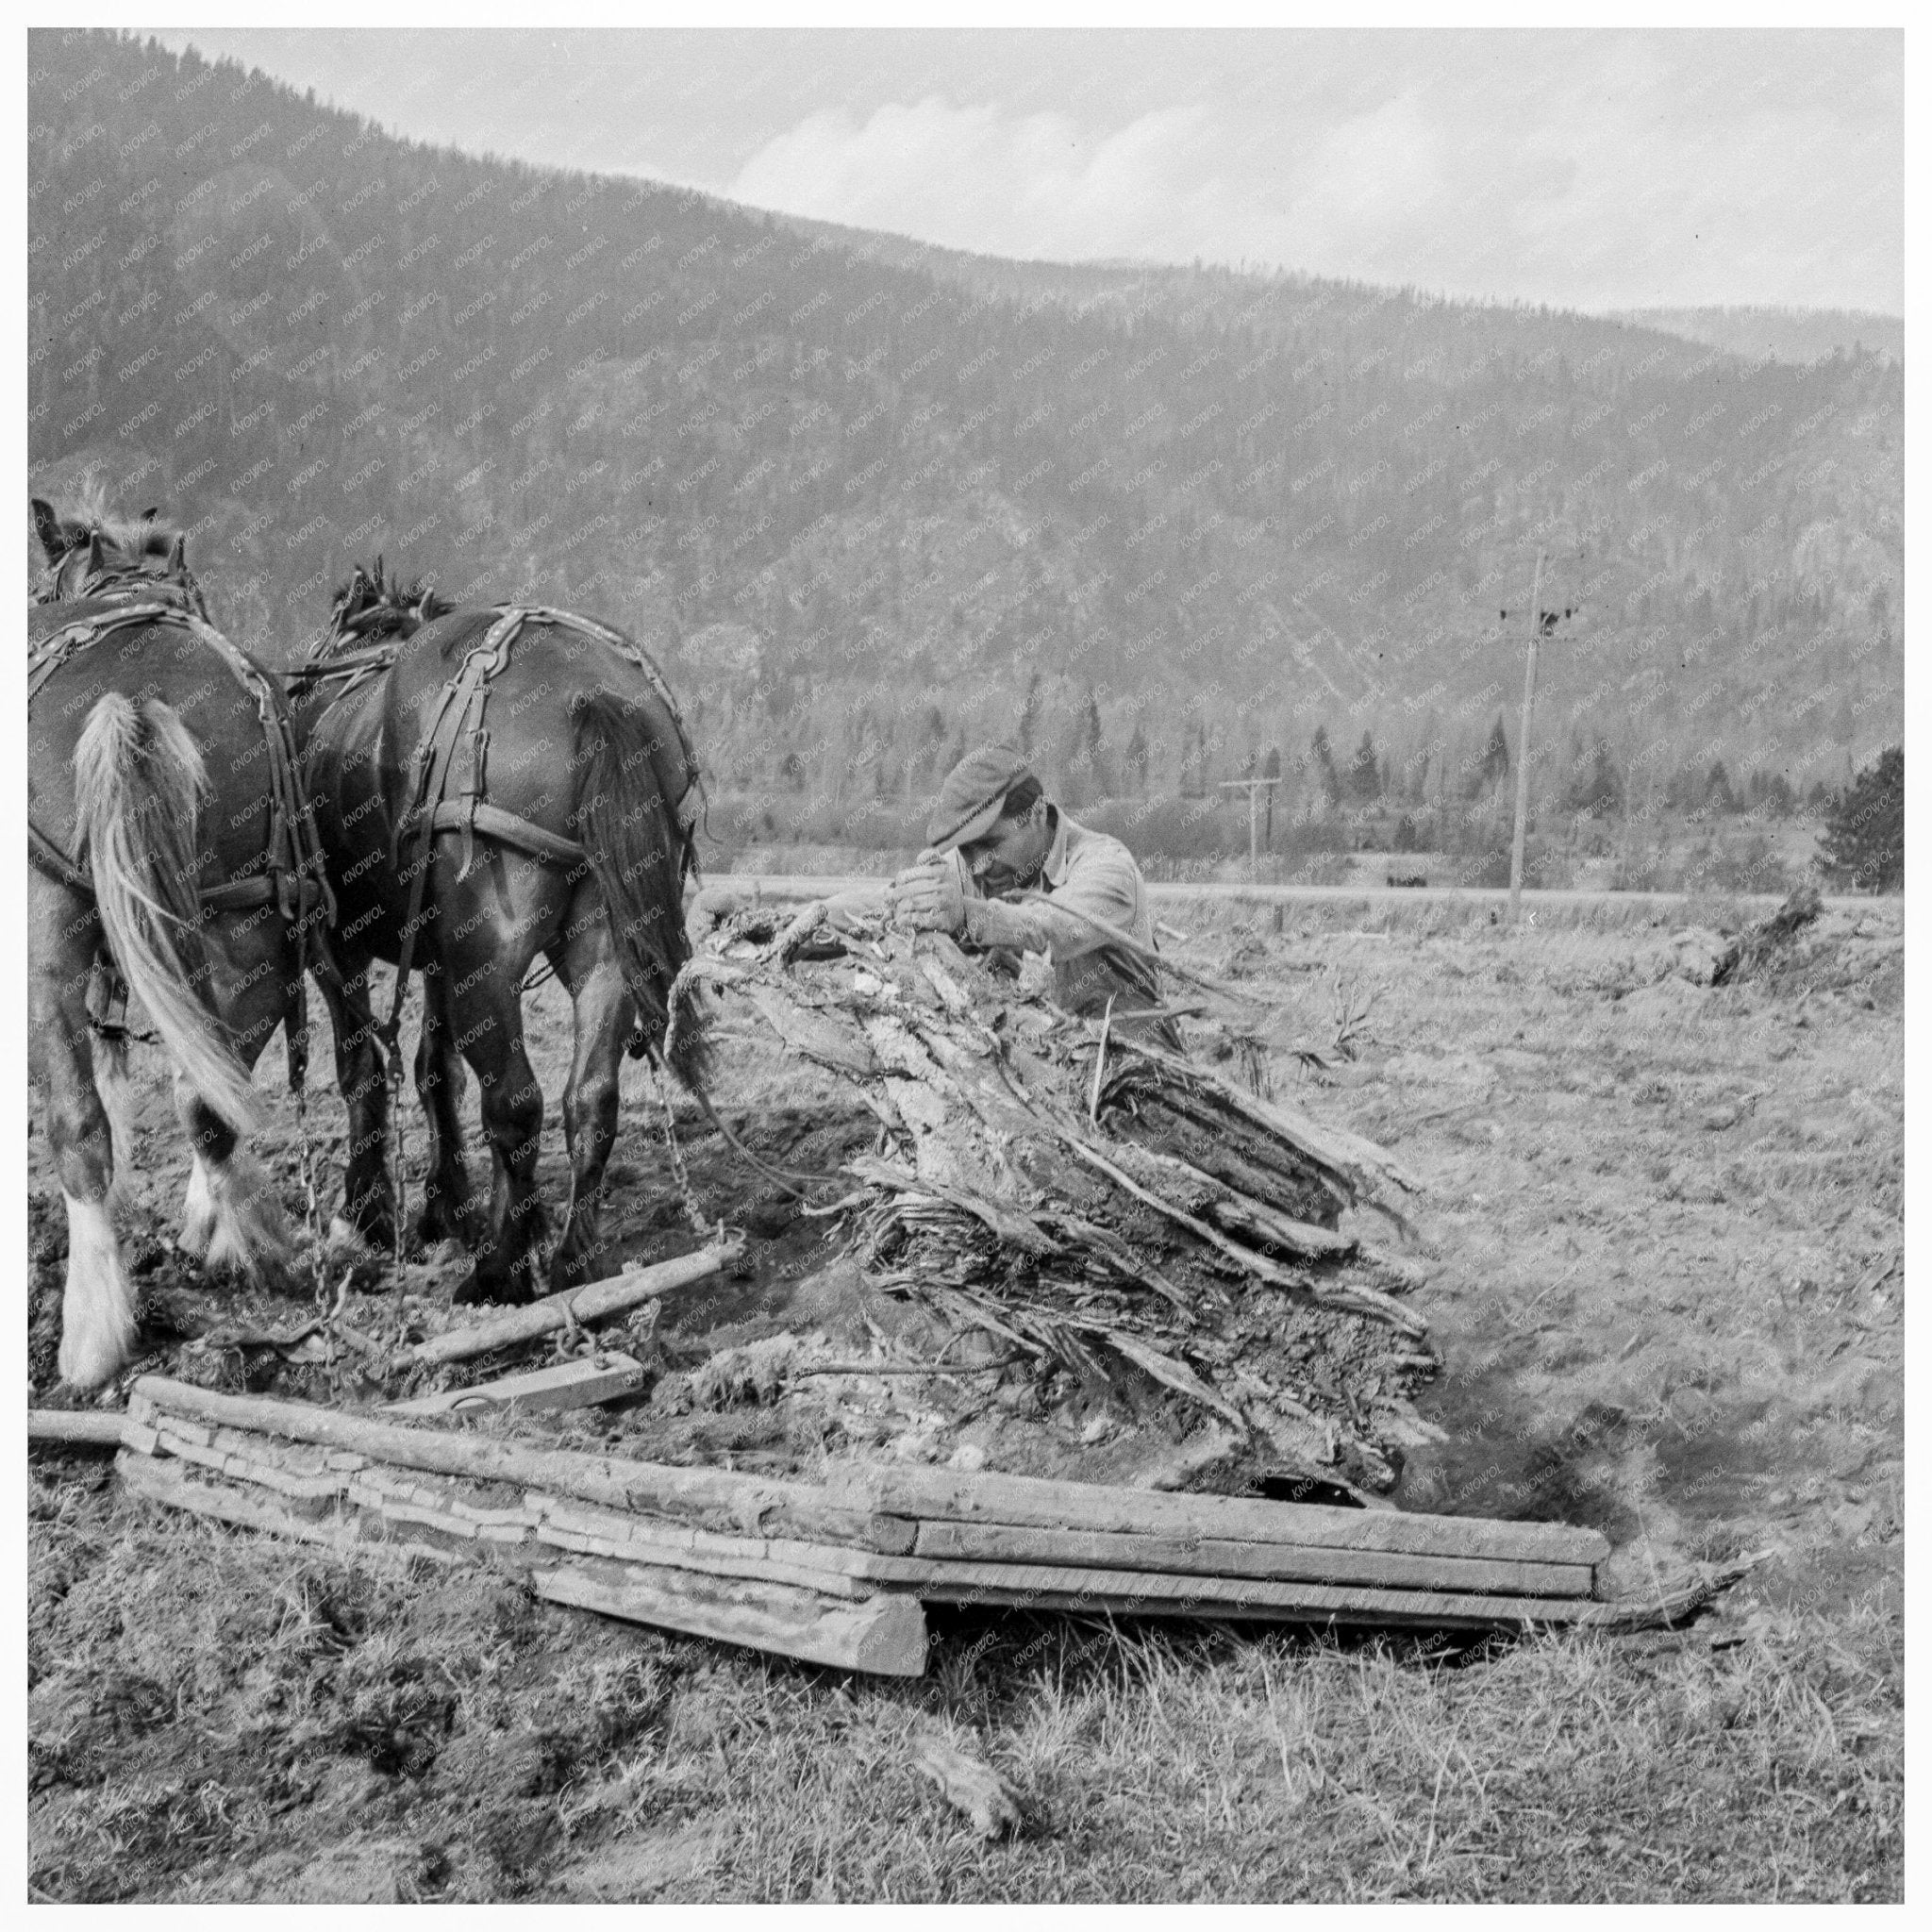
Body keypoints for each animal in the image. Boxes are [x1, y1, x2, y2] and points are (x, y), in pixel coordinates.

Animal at [27, 491, 351, 1383]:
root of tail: (127, 698)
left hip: (56, 919)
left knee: (85, 1124)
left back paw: (94, 1329)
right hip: (250, 924)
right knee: (208, 1096)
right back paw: (244, 1244)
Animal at [286, 564, 710, 1306]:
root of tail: (590, 695)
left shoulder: (336, 943)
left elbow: (361, 1068)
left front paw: (366, 1215)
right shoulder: (437, 955)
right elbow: (434, 1067)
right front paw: (444, 1206)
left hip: (490, 957)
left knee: (515, 1102)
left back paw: (499, 1270)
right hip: (601, 948)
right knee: (589, 1098)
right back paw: (571, 1263)